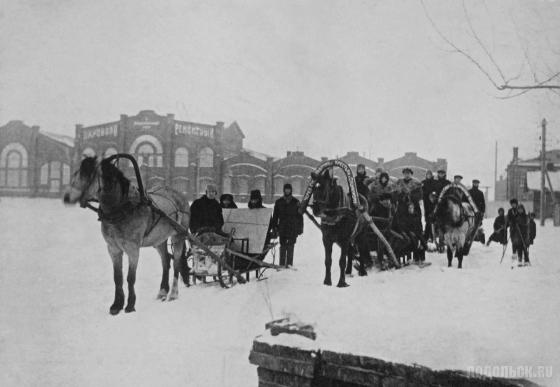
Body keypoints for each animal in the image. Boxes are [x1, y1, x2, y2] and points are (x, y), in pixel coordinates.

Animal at [63, 158, 190, 316]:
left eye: (89, 174)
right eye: (76, 172)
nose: (67, 197)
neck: (122, 208)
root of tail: (180, 195)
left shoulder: (133, 249)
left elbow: (130, 278)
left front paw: (130, 305)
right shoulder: (113, 249)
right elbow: (118, 278)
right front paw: (116, 305)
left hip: (179, 236)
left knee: (176, 263)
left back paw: (173, 293)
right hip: (159, 240)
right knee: (165, 262)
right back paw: (162, 291)